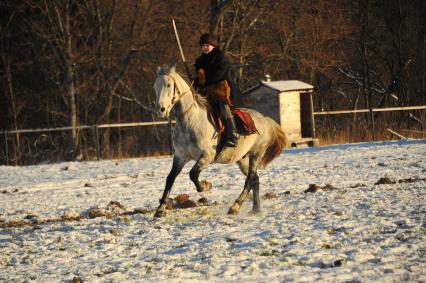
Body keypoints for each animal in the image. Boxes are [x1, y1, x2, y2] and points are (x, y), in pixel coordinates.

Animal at [153, 66, 286, 217]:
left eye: (168, 85)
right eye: (155, 87)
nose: (161, 110)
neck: (190, 120)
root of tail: (265, 119)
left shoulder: (207, 156)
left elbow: (193, 174)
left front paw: (205, 186)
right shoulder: (180, 157)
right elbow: (170, 178)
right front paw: (160, 209)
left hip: (256, 154)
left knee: (250, 180)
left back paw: (235, 207)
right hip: (242, 159)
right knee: (255, 180)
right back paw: (255, 209)